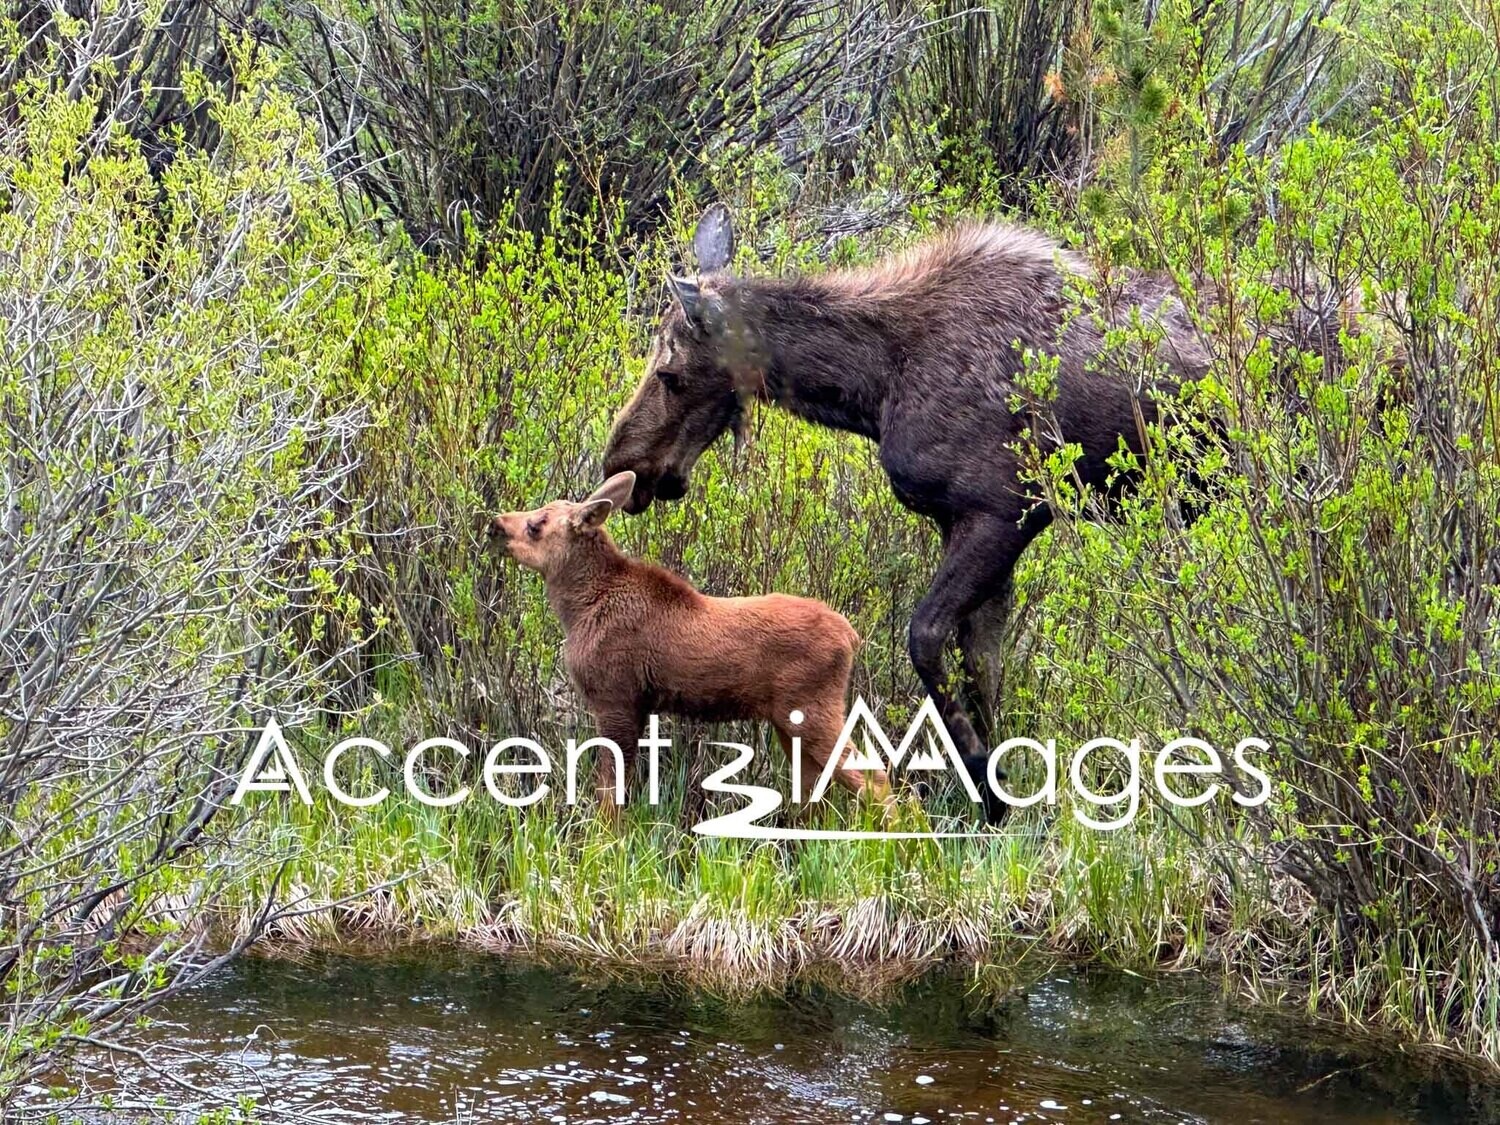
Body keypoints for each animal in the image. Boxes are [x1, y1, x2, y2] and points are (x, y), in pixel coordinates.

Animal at [483, 470, 892, 809]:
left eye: (537, 524)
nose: (494, 525)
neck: (578, 610)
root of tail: (852, 636)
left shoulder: (615, 697)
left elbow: (610, 791)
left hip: (813, 709)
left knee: (875, 778)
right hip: (789, 721)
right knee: (813, 791)